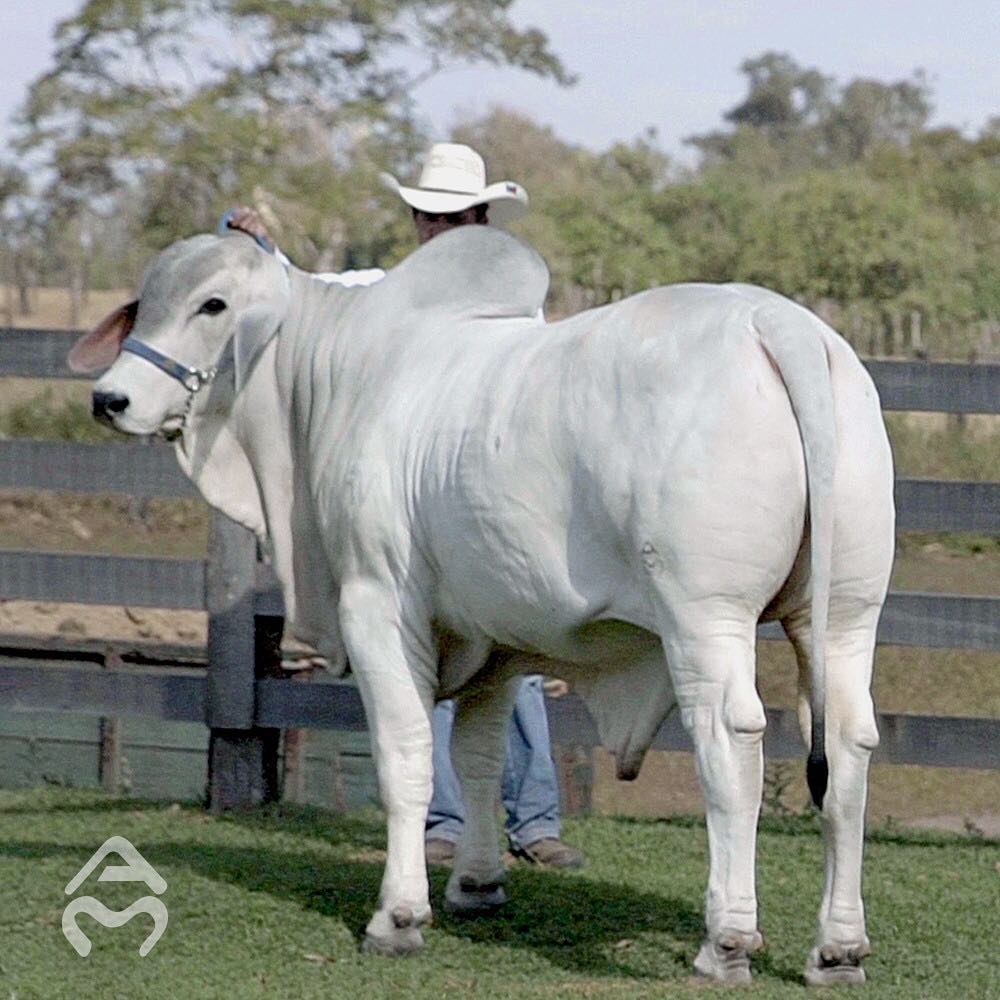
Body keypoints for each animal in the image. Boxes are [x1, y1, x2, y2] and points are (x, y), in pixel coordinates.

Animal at [72, 227, 900, 984]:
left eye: (212, 304)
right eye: (146, 301)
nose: (110, 399)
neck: (334, 375)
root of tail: (780, 324)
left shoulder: (376, 604)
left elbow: (406, 755)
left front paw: (399, 915)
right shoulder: (494, 639)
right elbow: (476, 756)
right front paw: (476, 884)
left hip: (705, 617)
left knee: (731, 743)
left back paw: (725, 941)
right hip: (843, 615)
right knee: (849, 747)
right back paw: (838, 947)